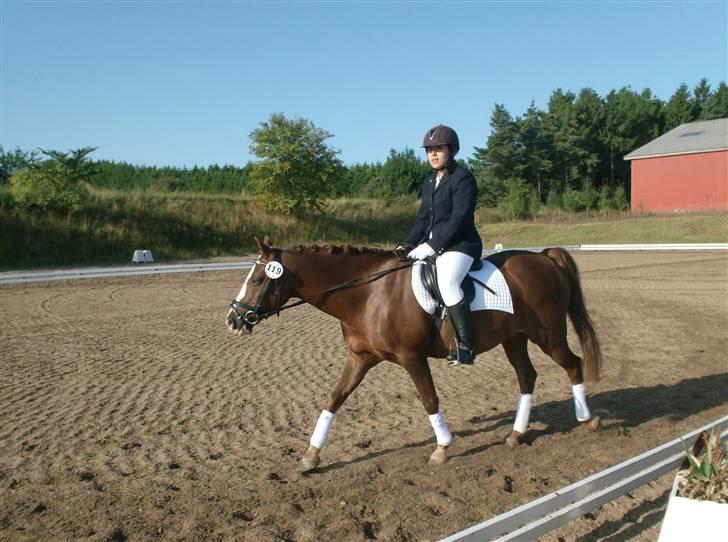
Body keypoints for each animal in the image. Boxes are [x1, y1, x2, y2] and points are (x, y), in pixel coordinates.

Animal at [225, 238, 600, 472]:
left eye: (257, 280)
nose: (233, 320)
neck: (368, 294)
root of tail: (544, 257)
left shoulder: (411, 358)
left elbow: (429, 399)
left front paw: (442, 447)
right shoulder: (359, 359)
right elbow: (333, 400)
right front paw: (311, 455)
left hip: (547, 336)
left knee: (574, 365)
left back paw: (588, 419)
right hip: (515, 339)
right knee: (527, 377)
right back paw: (516, 434)